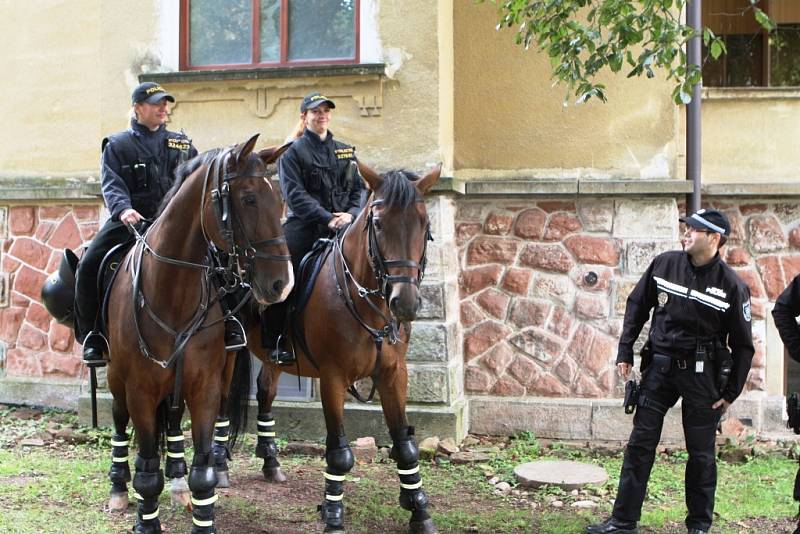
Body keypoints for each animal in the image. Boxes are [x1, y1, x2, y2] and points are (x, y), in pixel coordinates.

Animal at [103, 136, 294, 534]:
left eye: (281, 201)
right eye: (249, 198)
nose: (282, 284)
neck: (171, 292)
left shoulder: (203, 387)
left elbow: (202, 472)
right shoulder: (140, 391)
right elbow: (146, 472)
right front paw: (146, 521)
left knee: (174, 421)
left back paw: (175, 480)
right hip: (116, 379)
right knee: (118, 420)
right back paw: (118, 486)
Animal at [222, 165, 440, 532]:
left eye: (424, 224)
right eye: (378, 223)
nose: (405, 303)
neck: (364, 300)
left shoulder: (393, 375)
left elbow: (405, 446)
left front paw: (419, 511)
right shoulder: (333, 378)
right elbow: (339, 454)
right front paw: (333, 514)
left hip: (273, 357)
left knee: (265, 390)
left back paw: (270, 461)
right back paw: (219, 464)